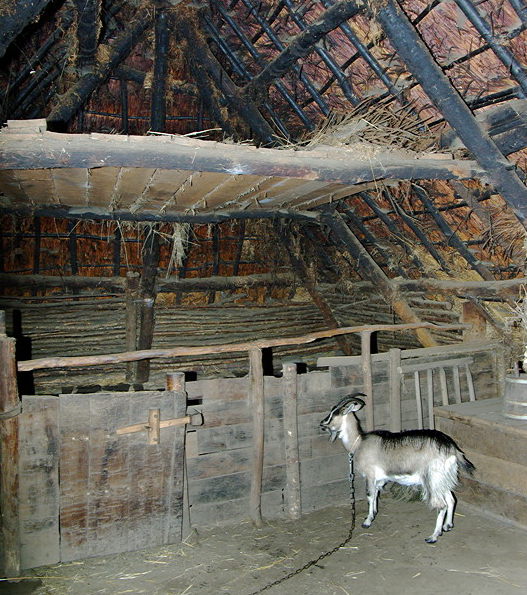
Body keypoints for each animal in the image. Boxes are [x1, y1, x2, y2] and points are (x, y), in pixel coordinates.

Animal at [320, 394, 476, 544]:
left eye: (335, 413)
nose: (322, 424)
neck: (359, 442)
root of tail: (452, 449)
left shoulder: (370, 475)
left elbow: (370, 495)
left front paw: (367, 521)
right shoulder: (380, 478)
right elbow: (376, 494)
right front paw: (374, 513)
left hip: (433, 478)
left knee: (442, 505)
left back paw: (433, 537)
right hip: (443, 479)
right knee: (451, 499)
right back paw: (448, 525)